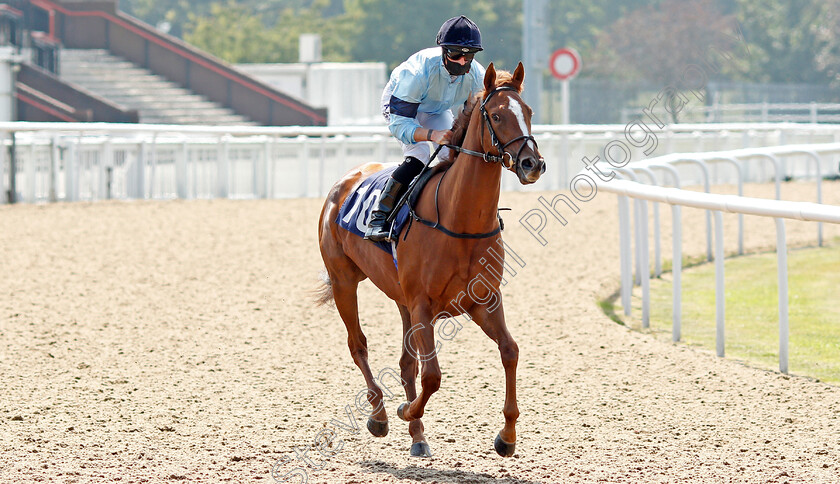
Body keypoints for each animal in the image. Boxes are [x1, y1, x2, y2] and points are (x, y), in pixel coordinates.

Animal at [316, 62, 544, 460]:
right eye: (497, 115)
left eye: (528, 112)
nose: (533, 163)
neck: (460, 222)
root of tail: (344, 181)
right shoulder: (423, 304)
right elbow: (433, 375)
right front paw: (405, 410)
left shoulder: (484, 301)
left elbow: (510, 351)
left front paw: (507, 436)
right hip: (344, 280)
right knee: (358, 345)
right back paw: (380, 415)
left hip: (400, 299)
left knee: (406, 363)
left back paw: (417, 437)